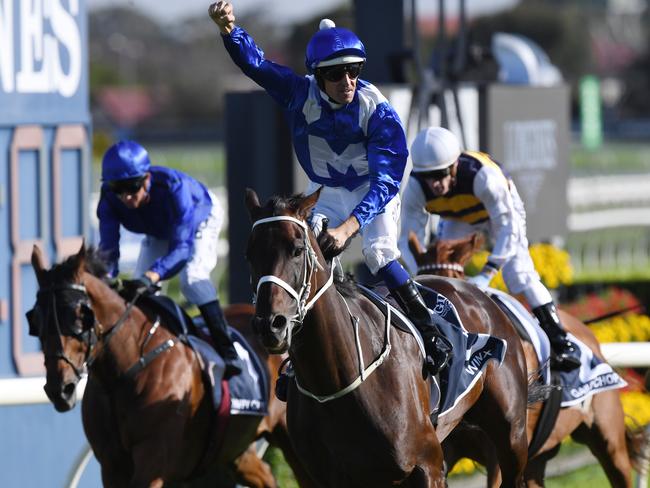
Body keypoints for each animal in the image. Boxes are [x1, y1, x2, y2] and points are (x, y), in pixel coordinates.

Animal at [30, 244, 314, 488]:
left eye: (79, 316)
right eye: (35, 318)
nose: (60, 389)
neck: (124, 373)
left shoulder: (152, 463)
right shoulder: (111, 467)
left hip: (289, 438)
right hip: (235, 449)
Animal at [243, 190, 532, 488]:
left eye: (297, 249)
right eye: (250, 254)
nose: (270, 325)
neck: (337, 378)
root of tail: (479, 293)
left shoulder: (428, 465)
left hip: (512, 435)